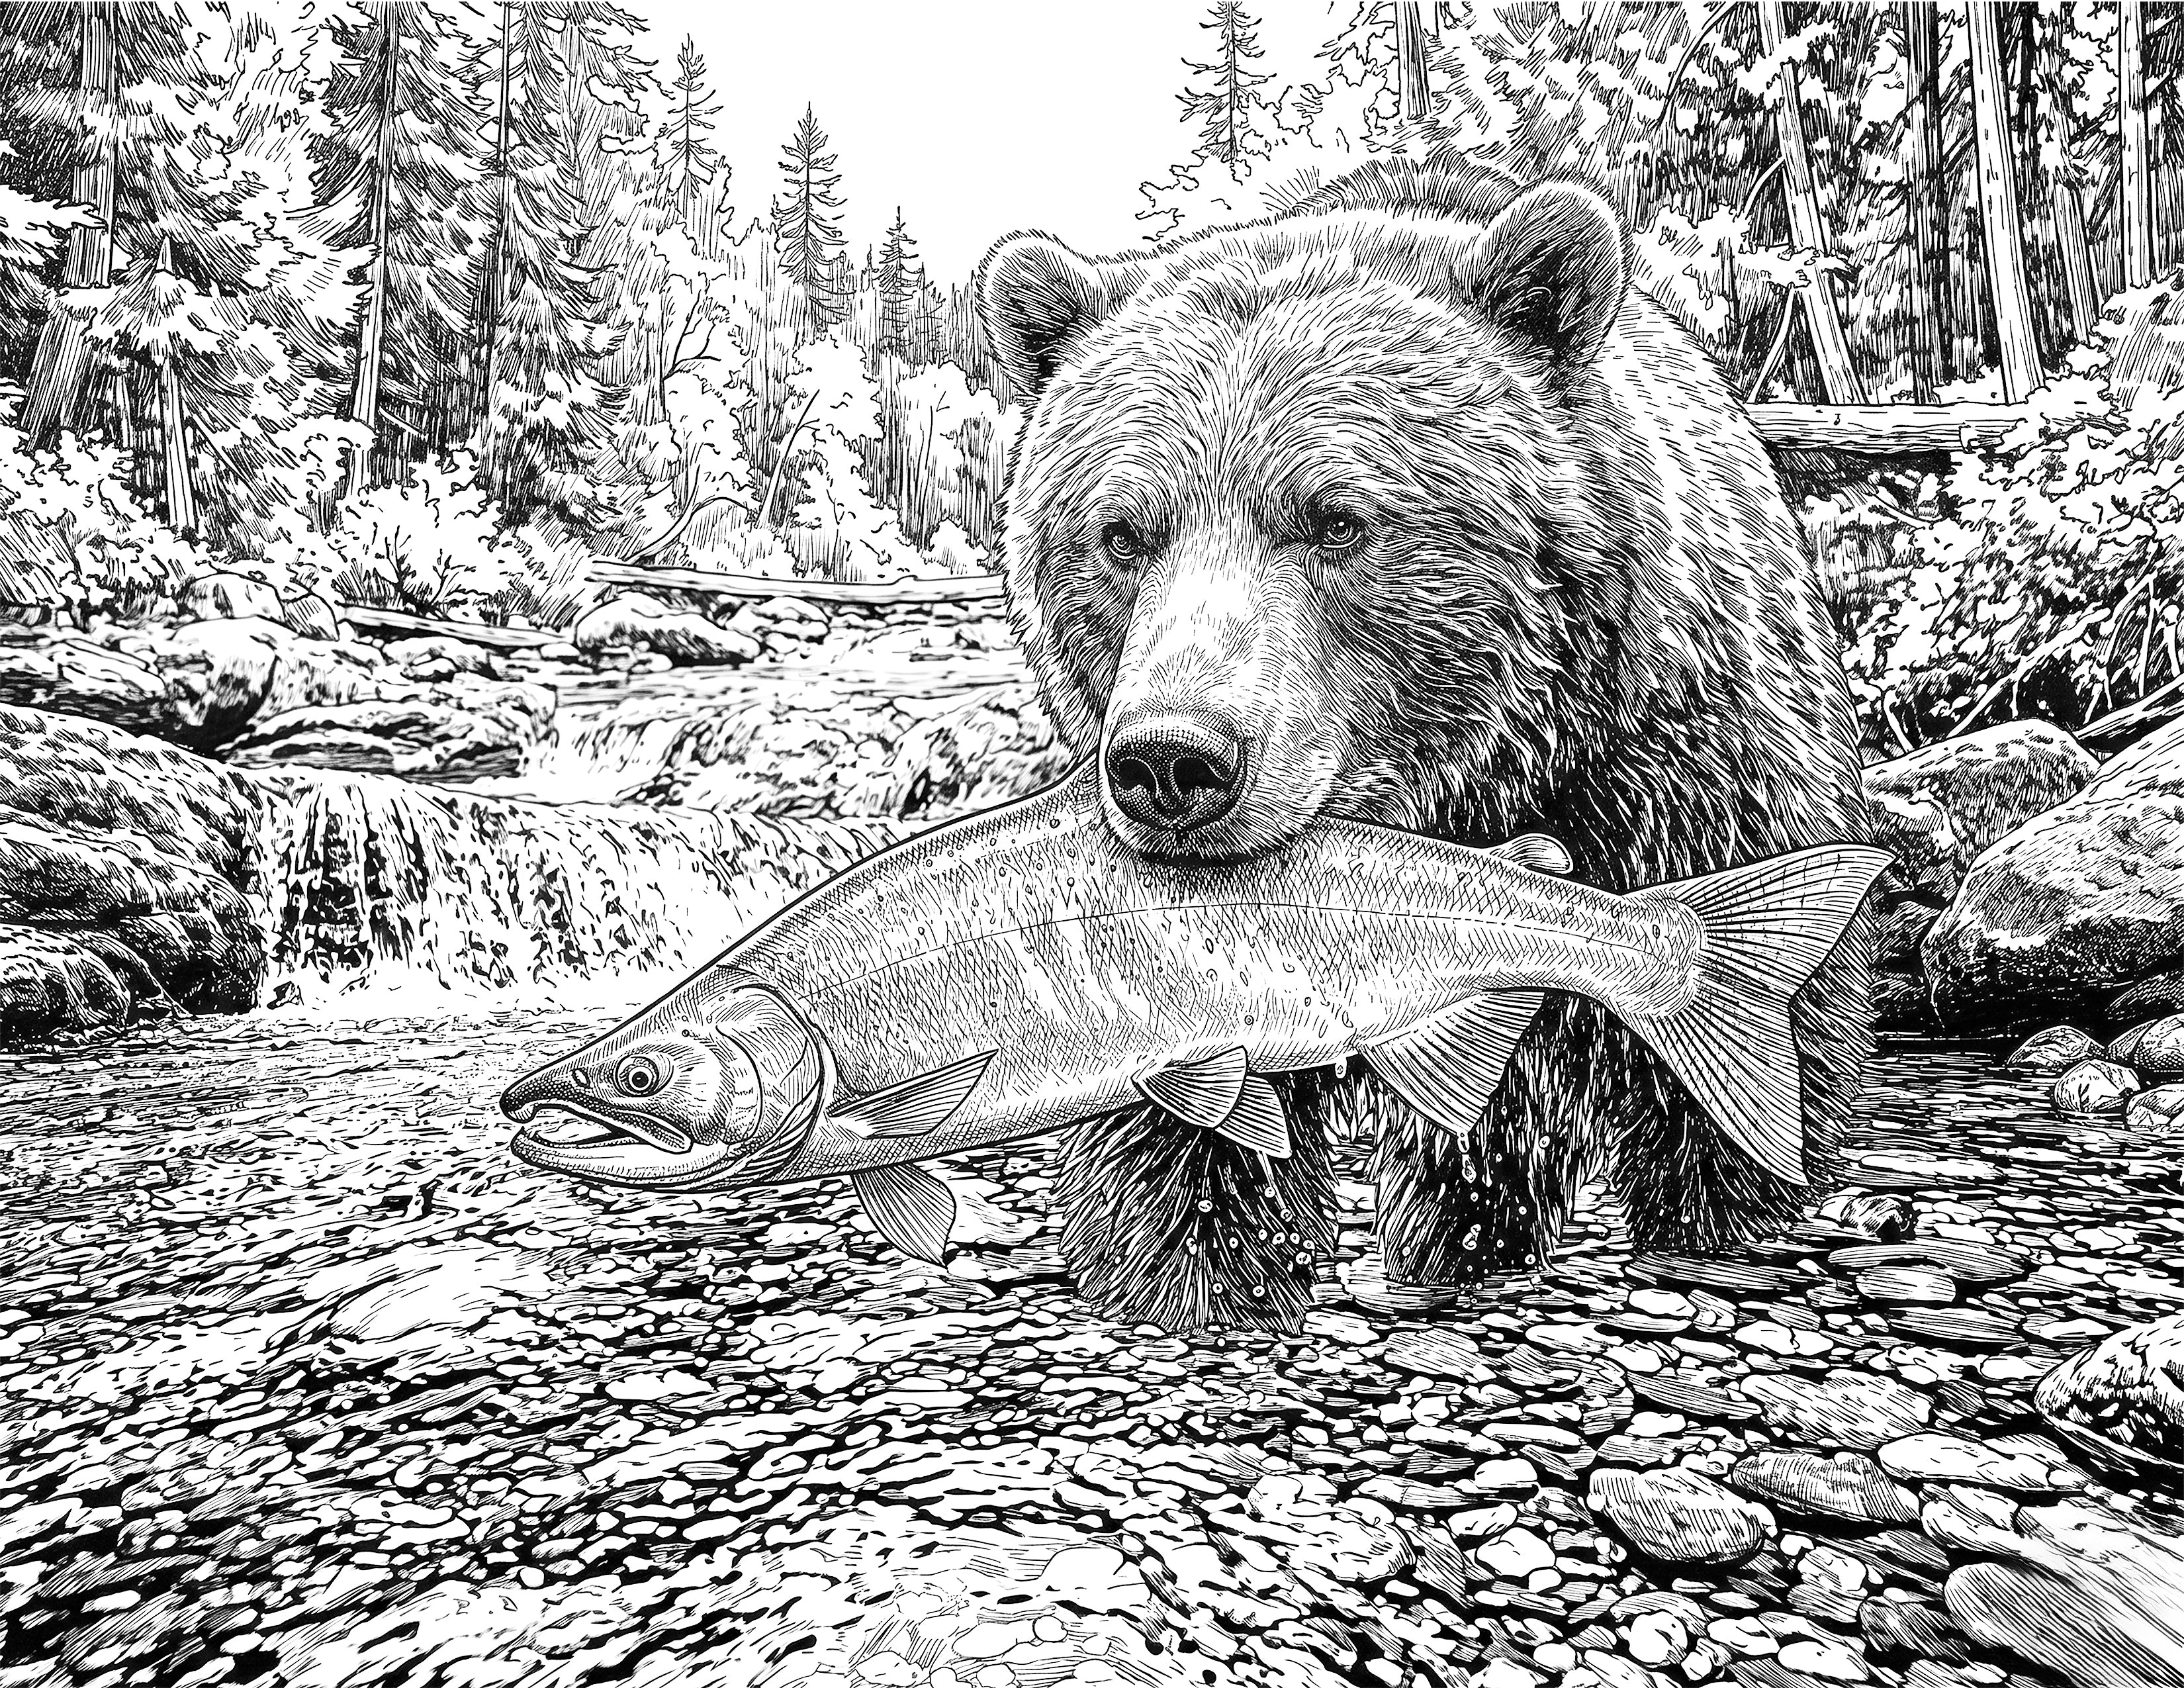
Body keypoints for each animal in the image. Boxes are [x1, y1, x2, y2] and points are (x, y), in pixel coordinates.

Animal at [974, 156, 1872, 1332]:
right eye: (1122, 531)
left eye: (1336, 519)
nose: (1173, 760)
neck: (1456, 799)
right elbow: (1185, 1150)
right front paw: (1202, 1281)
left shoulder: (1685, 782)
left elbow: (1729, 1108)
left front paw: (1735, 1214)